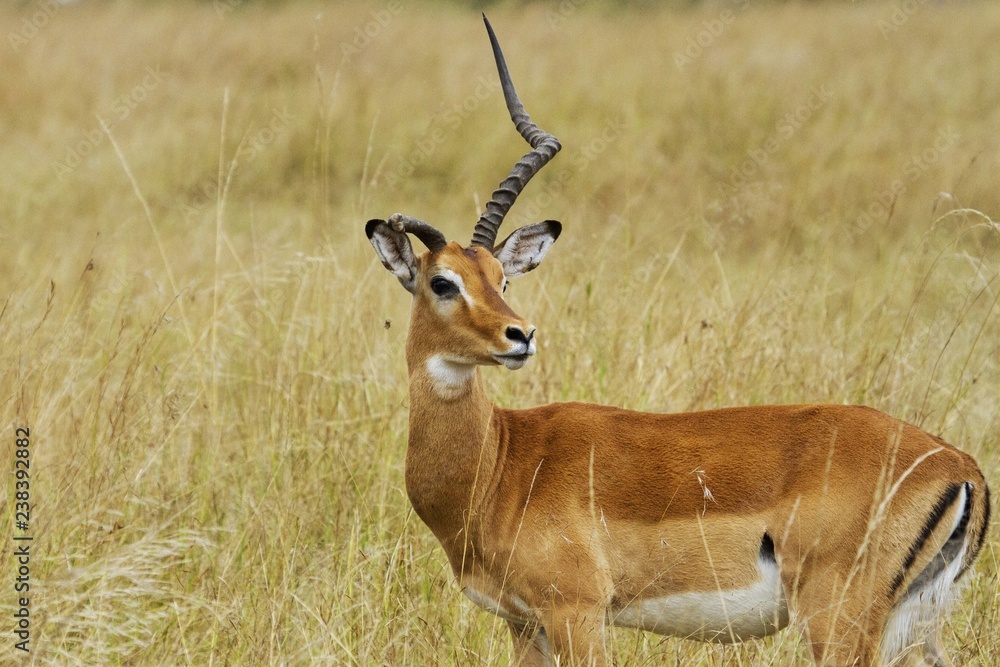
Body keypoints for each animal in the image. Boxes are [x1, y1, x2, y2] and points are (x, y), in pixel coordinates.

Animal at [364, 16, 991, 666]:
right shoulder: (523, 624)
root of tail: (961, 464)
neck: (501, 463)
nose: (521, 336)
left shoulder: (577, 613)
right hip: (912, 625)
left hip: (838, 621)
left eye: (502, 278)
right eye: (444, 281)